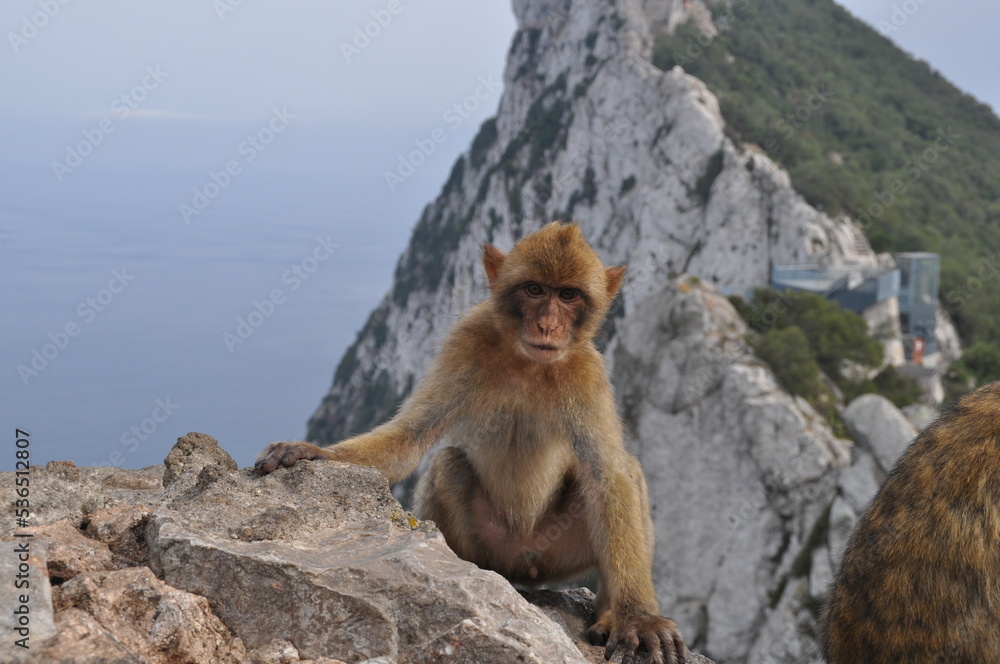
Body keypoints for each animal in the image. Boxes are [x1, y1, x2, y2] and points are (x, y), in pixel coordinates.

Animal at [256, 222, 688, 664]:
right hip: (495, 547)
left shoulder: (586, 370)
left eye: (568, 295)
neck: (527, 361)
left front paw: (639, 618)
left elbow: (607, 477)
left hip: (559, 551)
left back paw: (608, 612)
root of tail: (525, 566)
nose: (548, 326)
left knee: (625, 472)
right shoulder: (465, 340)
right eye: (535, 290)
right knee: (447, 463)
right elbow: (410, 436)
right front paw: (313, 452)